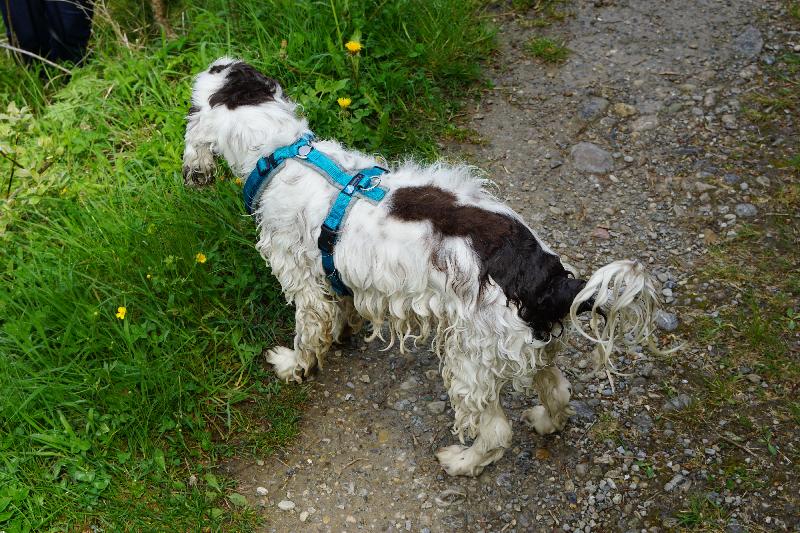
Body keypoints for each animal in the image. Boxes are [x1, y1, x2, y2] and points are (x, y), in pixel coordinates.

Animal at [182, 57, 662, 476]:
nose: (218, 58)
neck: (282, 152)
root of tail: (551, 280)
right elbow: (342, 308)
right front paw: (344, 332)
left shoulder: (302, 282)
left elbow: (308, 333)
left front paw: (292, 365)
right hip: (533, 348)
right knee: (559, 391)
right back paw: (546, 422)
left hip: (470, 360)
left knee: (496, 432)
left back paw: (462, 462)